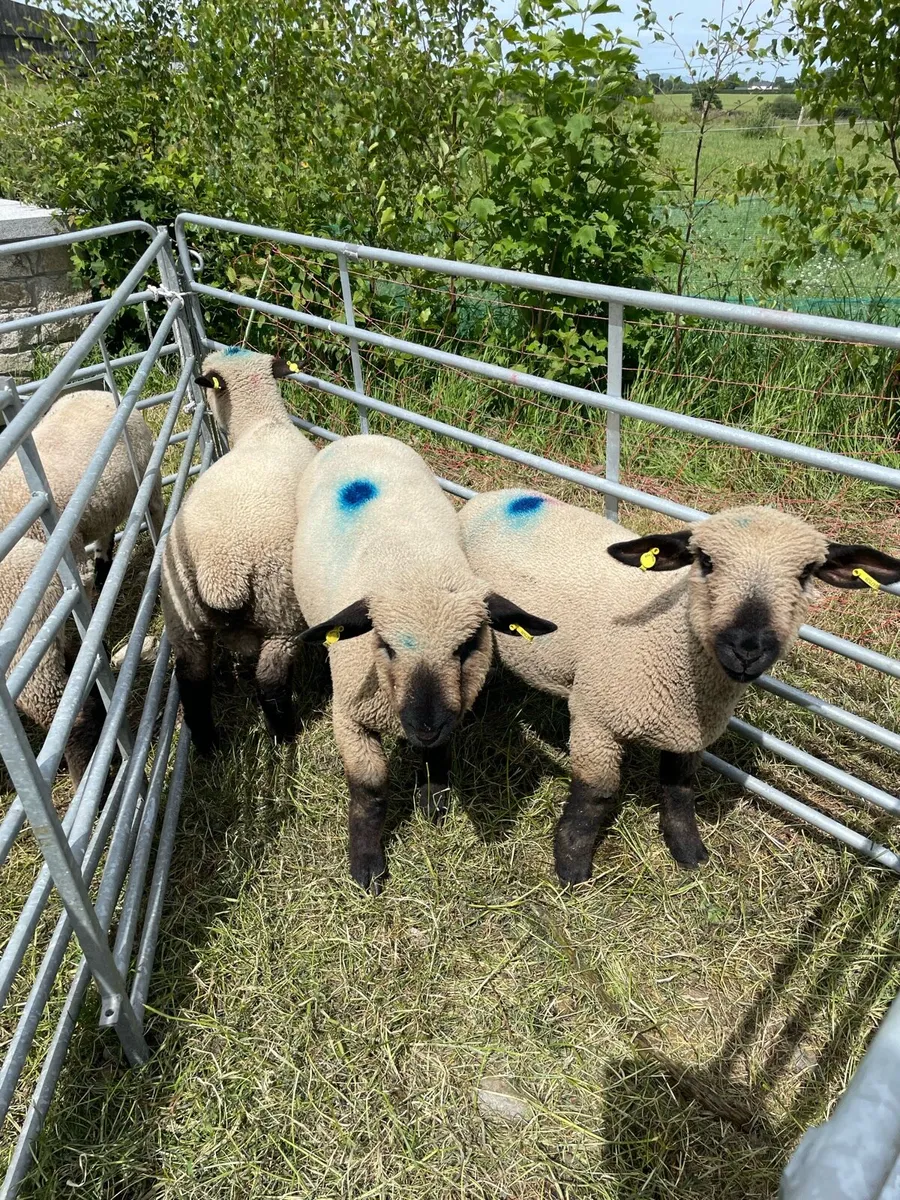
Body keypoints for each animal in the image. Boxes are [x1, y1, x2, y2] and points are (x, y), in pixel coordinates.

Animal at [161, 349, 317, 753]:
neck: (264, 424)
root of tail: (221, 573)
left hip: (185, 621)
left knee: (193, 684)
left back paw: (208, 747)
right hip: (281, 615)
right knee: (271, 686)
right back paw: (284, 737)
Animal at [293, 435, 557, 893]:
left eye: (467, 645)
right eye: (385, 644)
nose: (425, 725)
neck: (411, 565)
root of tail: (362, 437)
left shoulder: (452, 706)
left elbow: (440, 750)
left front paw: (433, 798)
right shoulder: (350, 716)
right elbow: (370, 791)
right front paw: (367, 866)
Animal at [459, 491, 900, 882]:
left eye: (807, 572)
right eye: (705, 560)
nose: (747, 648)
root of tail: (500, 494)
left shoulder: (689, 733)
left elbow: (679, 791)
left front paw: (689, 852)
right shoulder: (594, 718)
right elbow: (595, 796)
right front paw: (571, 865)